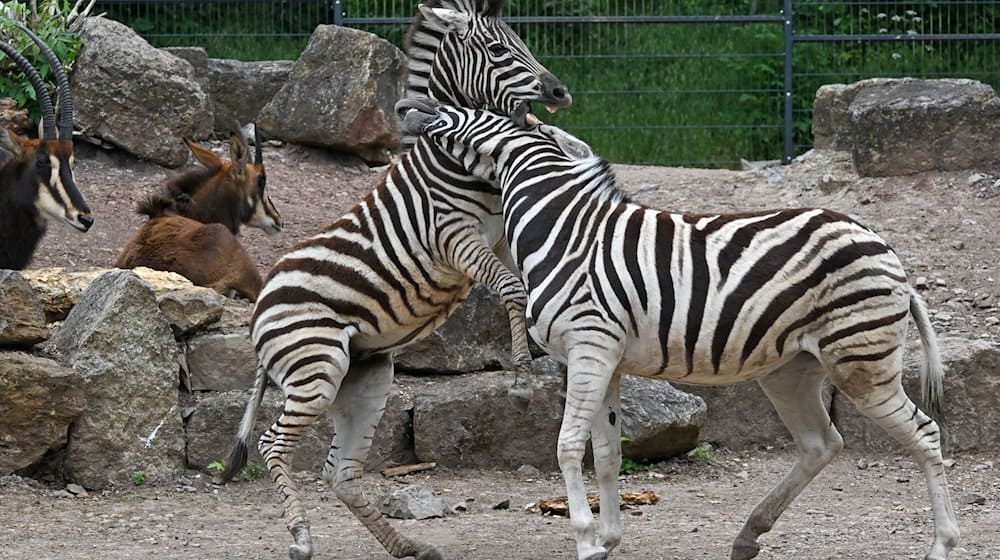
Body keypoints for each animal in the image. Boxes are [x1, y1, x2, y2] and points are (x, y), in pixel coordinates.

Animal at [224, 1, 576, 560]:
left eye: (521, 40)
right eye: (497, 49)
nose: (560, 92)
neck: (457, 158)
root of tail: (260, 304)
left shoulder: (499, 237)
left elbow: (529, 287)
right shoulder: (455, 239)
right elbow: (513, 289)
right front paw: (522, 373)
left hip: (364, 377)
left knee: (341, 474)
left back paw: (407, 544)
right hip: (315, 368)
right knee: (272, 445)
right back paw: (301, 536)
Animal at [398, 100, 960, 560]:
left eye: (472, 112)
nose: (409, 106)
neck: (562, 228)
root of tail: (887, 250)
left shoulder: (588, 347)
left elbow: (567, 445)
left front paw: (585, 540)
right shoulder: (607, 360)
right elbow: (608, 452)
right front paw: (609, 540)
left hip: (860, 362)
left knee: (925, 433)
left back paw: (941, 545)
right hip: (791, 369)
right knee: (821, 442)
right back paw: (749, 534)